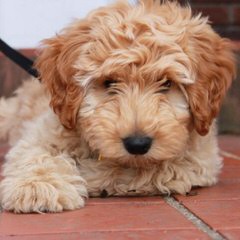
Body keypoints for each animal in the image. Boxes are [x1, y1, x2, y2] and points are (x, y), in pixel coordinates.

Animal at [0, 0, 235, 213]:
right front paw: (37, 188)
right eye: (109, 82)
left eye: (167, 83)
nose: (137, 144)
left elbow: (151, 170)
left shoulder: (200, 158)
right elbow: (34, 154)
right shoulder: (43, 132)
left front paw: (92, 174)